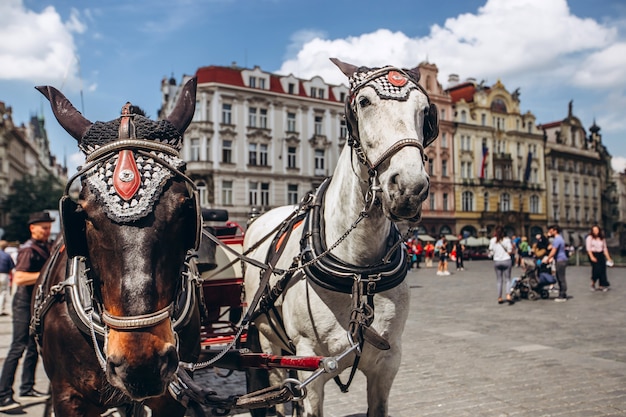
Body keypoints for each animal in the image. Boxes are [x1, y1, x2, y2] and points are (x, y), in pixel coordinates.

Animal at [241, 58, 436, 416]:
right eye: (364, 102)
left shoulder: (388, 362)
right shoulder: (311, 366)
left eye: (425, 110)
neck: (359, 271)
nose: (409, 188)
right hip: (267, 341)